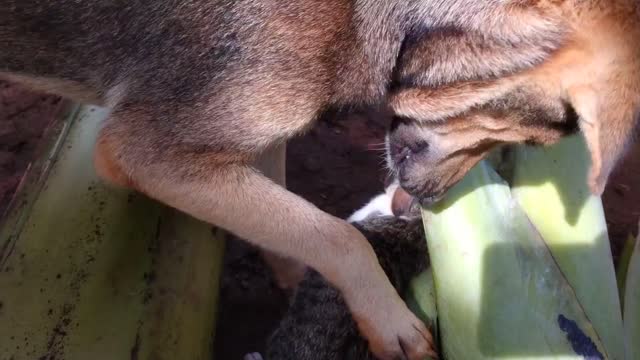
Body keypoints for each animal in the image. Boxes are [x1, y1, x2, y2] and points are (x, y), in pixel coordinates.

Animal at [2, 1, 576, 358]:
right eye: (528, 140)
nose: (415, 205)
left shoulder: (254, 140)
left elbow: (296, 225)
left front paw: (300, 282)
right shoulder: (139, 152)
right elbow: (340, 236)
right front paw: (387, 318)